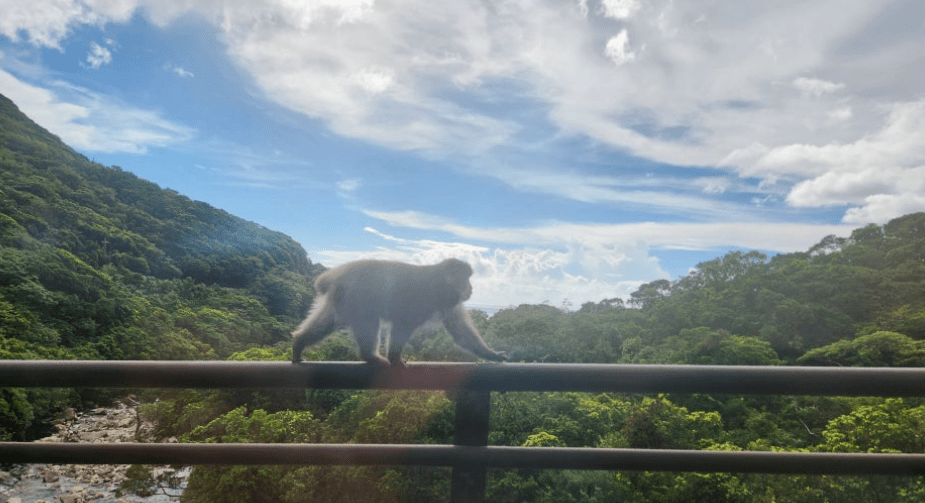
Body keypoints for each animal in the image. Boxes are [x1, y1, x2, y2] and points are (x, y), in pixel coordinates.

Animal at [290, 260, 508, 366]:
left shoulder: (450, 304)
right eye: (466, 279)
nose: (471, 288)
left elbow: (461, 333)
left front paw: (491, 354)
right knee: (368, 320)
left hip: (342, 299)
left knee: (329, 321)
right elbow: (403, 324)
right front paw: (394, 358)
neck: (441, 285)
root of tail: (334, 275)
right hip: (357, 296)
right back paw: (370, 356)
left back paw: (299, 342)